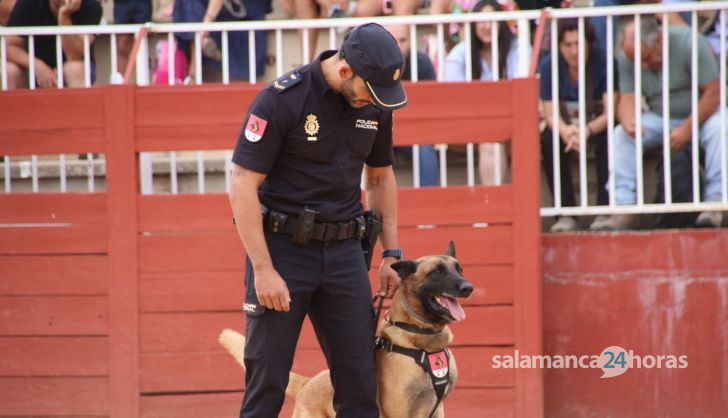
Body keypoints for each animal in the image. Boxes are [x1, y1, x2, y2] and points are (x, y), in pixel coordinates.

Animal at [219, 242, 474, 418]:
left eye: (459, 269)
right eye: (437, 272)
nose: (468, 287)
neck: (421, 340)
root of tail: (308, 383)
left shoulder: (437, 409)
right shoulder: (399, 411)